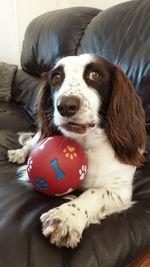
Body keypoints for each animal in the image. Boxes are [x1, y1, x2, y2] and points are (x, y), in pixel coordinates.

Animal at [7, 54, 146, 249]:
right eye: (57, 77)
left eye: (95, 75)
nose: (65, 106)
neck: (87, 144)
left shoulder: (121, 190)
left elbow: (94, 193)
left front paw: (66, 218)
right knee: (33, 141)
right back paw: (18, 153)